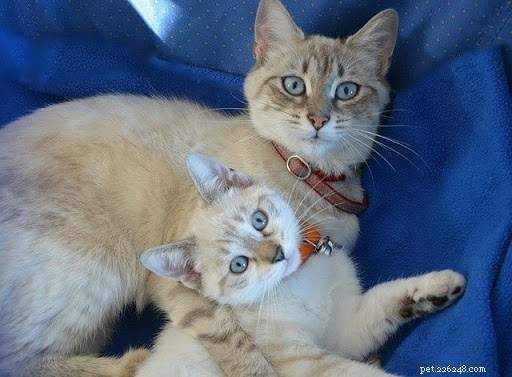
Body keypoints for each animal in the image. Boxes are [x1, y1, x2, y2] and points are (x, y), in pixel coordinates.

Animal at [0, 0, 398, 374]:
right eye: (294, 85)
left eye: (346, 91)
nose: (318, 119)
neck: (306, 178)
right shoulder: (186, 292)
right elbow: (238, 345)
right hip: (99, 270)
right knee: (22, 362)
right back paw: (130, 362)